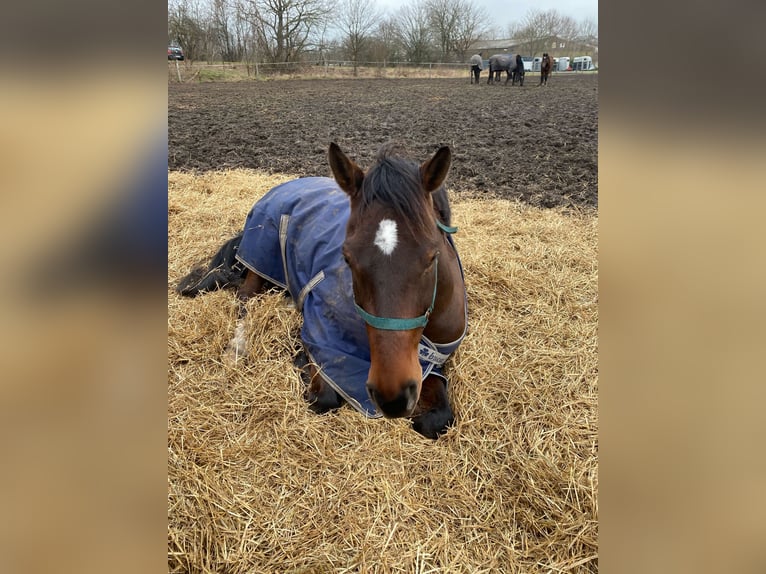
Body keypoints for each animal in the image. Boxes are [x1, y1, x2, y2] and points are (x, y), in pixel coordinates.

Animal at [176, 144, 468, 440]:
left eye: (432, 256)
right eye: (347, 257)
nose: (393, 398)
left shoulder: (433, 364)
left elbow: (438, 419)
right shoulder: (324, 341)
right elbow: (323, 396)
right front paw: (300, 357)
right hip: (261, 257)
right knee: (246, 299)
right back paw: (238, 345)